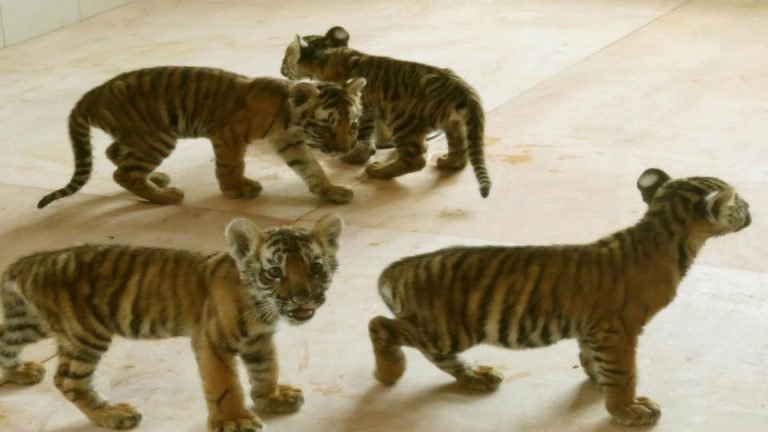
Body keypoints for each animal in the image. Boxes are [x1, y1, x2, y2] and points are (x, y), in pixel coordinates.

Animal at [0, 213, 343, 432]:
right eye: (274, 272)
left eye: (315, 268)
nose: (302, 299)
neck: (263, 307)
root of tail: (32, 261)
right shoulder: (212, 342)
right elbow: (225, 385)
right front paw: (234, 420)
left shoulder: (259, 341)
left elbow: (266, 369)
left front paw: (272, 398)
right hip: (85, 334)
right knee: (69, 381)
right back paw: (112, 415)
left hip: (33, 322)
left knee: (6, 340)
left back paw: (20, 372)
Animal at [36, 66, 367, 209]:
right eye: (325, 128)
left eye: (352, 126)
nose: (344, 149)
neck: (289, 121)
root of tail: (92, 95)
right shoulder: (227, 135)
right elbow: (231, 166)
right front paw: (236, 190)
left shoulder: (290, 143)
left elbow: (312, 168)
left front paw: (331, 191)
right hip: (157, 137)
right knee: (123, 173)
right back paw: (164, 197)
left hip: (139, 137)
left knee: (114, 154)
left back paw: (157, 181)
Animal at [280, 26, 492, 198]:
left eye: (285, 56)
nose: (281, 68)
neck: (326, 55)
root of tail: (462, 89)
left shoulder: (359, 107)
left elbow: (362, 133)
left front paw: (354, 155)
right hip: (453, 123)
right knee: (459, 150)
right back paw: (448, 162)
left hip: (401, 118)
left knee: (415, 161)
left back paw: (378, 171)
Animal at [367, 168, 751, 426]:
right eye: (738, 201)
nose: (751, 210)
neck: (664, 232)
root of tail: (396, 269)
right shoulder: (619, 329)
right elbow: (625, 372)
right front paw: (628, 409)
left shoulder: (594, 328)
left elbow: (593, 359)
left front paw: (599, 383)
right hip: (446, 327)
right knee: (380, 325)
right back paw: (390, 372)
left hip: (445, 331)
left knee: (434, 353)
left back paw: (475, 376)